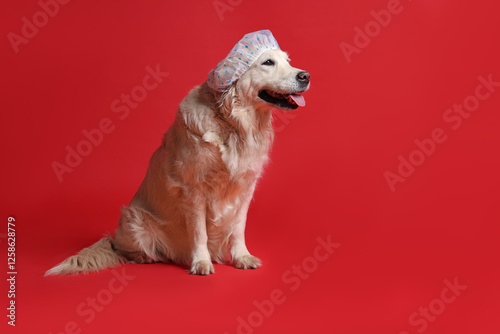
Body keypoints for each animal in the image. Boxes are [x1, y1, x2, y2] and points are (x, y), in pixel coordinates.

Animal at [46, 31, 308, 276]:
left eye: (287, 61)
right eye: (267, 62)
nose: (306, 76)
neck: (235, 124)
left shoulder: (245, 187)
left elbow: (237, 227)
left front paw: (242, 257)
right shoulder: (193, 190)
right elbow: (200, 232)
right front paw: (201, 262)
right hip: (134, 218)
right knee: (122, 248)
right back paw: (145, 257)